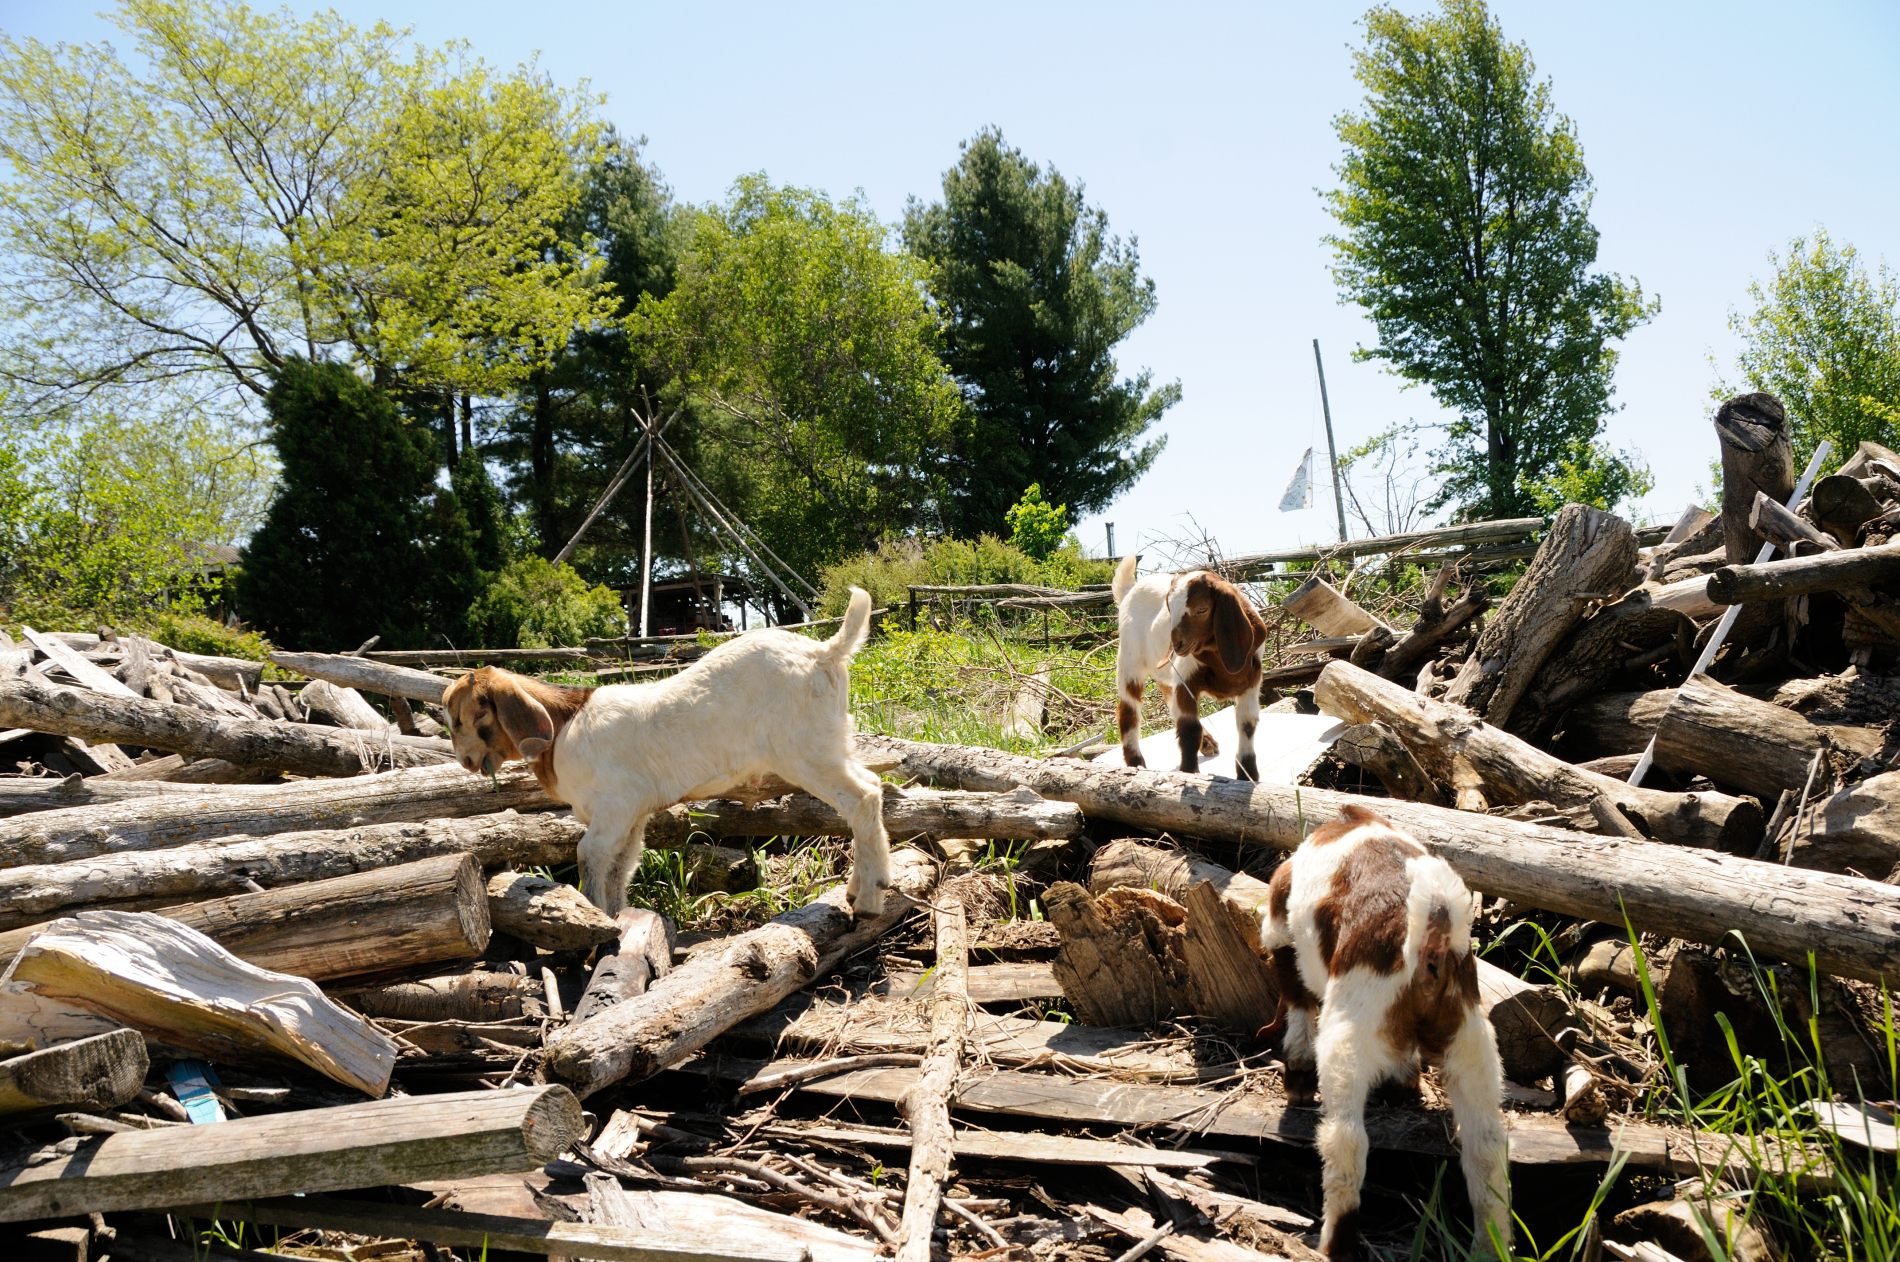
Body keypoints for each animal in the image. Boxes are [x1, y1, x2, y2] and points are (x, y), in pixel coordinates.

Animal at [442, 588, 891, 919]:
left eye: (461, 719)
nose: (464, 761)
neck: (563, 723)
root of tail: (824, 652)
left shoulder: (616, 804)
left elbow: (590, 857)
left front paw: (596, 921)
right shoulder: (632, 815)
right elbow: (621, 866)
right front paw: (615, 918)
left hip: (804, 752)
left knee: (863, 797)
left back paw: (870, 900)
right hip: (831, 743)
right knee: (871, 785)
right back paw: (858, 889)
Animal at [1110, 553, 1269, 780]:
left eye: (1201, 609)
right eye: (1169, 608)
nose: (1177, 645)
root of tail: (1129, 590)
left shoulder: (1251, 682)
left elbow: (1247, 724)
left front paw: (1248, 776)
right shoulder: (1186, 679)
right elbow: (1189, 727)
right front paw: (1189, 771)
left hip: (1165, 674)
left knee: (1170, 704)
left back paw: (1208, 744)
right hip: (1129, 659)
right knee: (1129, 710)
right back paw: (1136, 764)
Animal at [1259, 804, 1509, 1260]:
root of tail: (1433, 933)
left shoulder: (1279, 928)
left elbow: (1297, 1002)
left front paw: (1297, 1079)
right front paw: (1404, 1081)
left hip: (1350, 1030)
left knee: (1347, 1141)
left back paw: (1333, 1243)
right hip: (1470, 1038)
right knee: (1486, 1147)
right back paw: (1490, 1247)